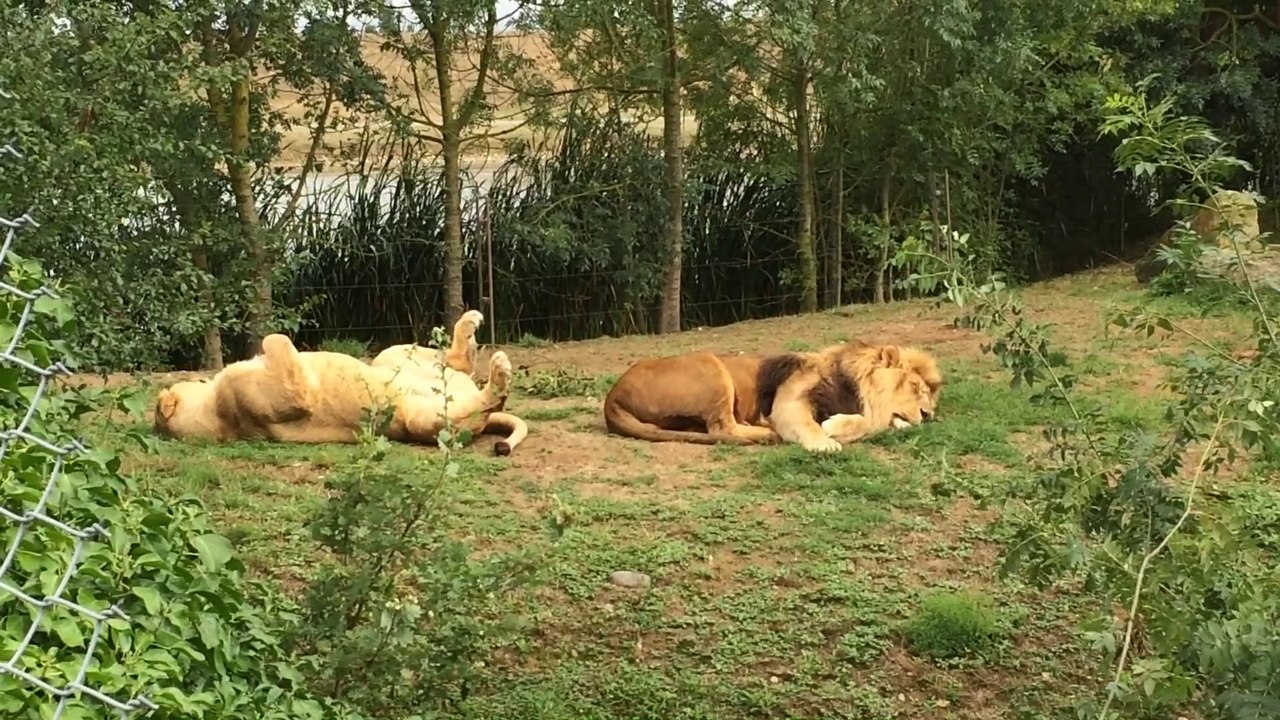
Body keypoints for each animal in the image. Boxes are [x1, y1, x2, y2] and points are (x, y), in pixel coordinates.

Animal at [153, 312, 529, 455]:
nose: (200, 377)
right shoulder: (291, 396)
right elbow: (278, 342)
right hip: (422, 420)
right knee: (483, 404)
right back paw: (499, 369)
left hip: (390, 355)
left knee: (455, 362)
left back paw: (470, 326)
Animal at [755, 341, 942, 453]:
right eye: (915, 386)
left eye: (931, 401)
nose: (927, 415)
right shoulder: (789, 400)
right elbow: (807, 423)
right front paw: (824, 443)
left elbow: (872, 422)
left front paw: (833, 426)